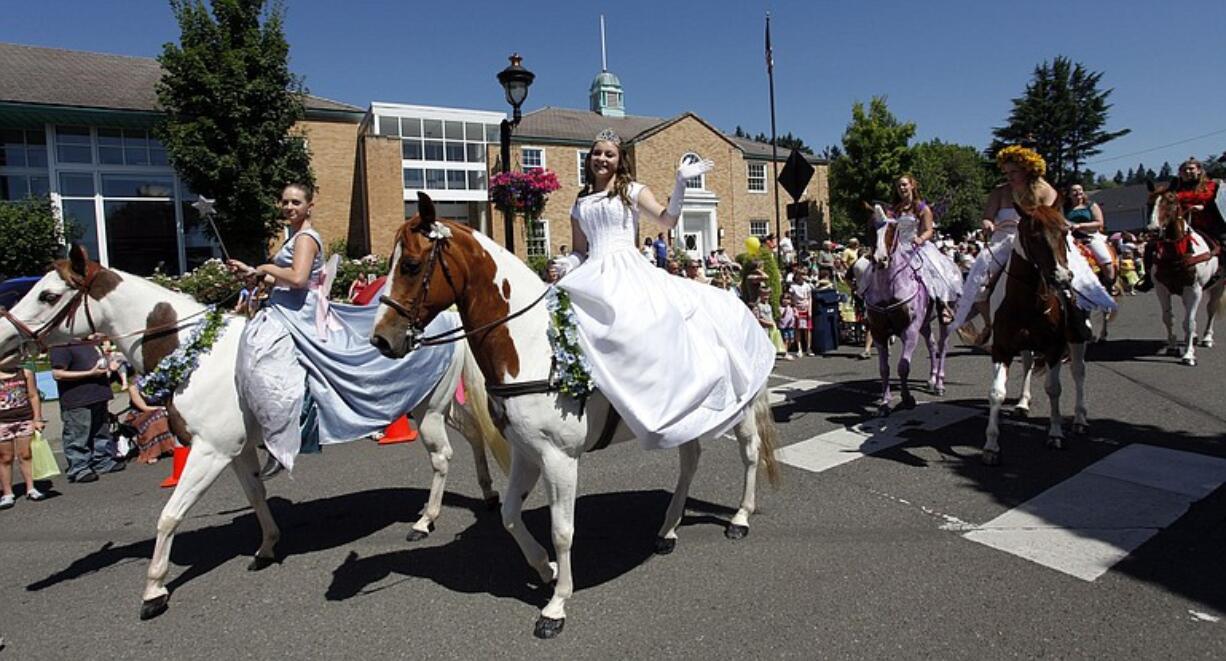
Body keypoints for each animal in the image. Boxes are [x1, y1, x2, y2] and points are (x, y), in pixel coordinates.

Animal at [0, 242, 507, 620]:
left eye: (47, 296)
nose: (4, 336)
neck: (193, 351)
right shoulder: (236, 450)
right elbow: (255, 495)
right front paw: (267, 547)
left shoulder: (209, 451)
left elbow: (169, 516)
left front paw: (154, 592)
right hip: (434, 404)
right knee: (473, 435)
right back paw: (486, 493)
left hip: (426, 409)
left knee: (442, 459)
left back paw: (425, 520)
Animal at [367, 193, 779, 637]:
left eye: (410, 264)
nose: (381, 338)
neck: (533, 344)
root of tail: (734, 299)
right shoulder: (527, 452)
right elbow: (510, 517)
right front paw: (545, 569)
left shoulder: (559, 458)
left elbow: (562, 530)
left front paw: (557, 604)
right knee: (690, 461)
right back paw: (668, 529)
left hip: (739, 409)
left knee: (749, 453)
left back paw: (740, 517)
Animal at [985, 206, 1093, 466]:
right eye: (1034, 237)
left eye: (1065, 233)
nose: (1063, 278)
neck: (1026, 300)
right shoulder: (1001, 348)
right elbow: (997, 392)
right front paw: (991, 445)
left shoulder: (1055, 347)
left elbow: (1054, 388)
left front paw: (1055, 434)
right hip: (1025, 345)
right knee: (1027, 365)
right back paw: (1023, 403)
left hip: (1077, 338)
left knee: (1078, 372)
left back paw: (1080, 419)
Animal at [1142, 186, 1221, 365]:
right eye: (1149, 202)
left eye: (1170, 201)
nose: (1153, 230)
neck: (1176, 253)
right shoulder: (1162, 289)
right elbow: (1168, 318)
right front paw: (1172, 346)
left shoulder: (1194, 290)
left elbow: (1190, 322)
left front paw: (1189, 354)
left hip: (1218, 287)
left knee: (1211, 309)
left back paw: (1207, 338)